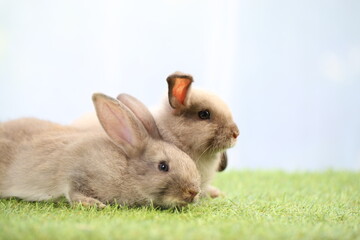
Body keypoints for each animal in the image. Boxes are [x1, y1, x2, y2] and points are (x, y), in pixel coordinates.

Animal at [0, 93, 201, 207]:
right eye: (163, 166)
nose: (193, 192)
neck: (126, 169)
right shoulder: (76, 172)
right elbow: (73, 191)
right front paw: (94, 204)